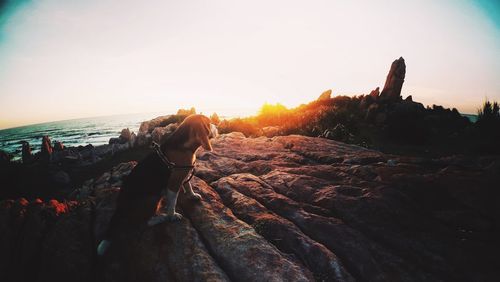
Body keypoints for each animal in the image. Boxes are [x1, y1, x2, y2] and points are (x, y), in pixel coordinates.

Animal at [96, 113, 218, 256]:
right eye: (209, 123)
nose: (217, 125)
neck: (182, 146)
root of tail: (119, 209)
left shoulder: (184, 174)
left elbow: (188, 186)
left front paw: (192, 195)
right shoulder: (174, 182)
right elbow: (172, 202)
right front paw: (172, 215)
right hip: (152, 198)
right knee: (145, 222)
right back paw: (160, 218)